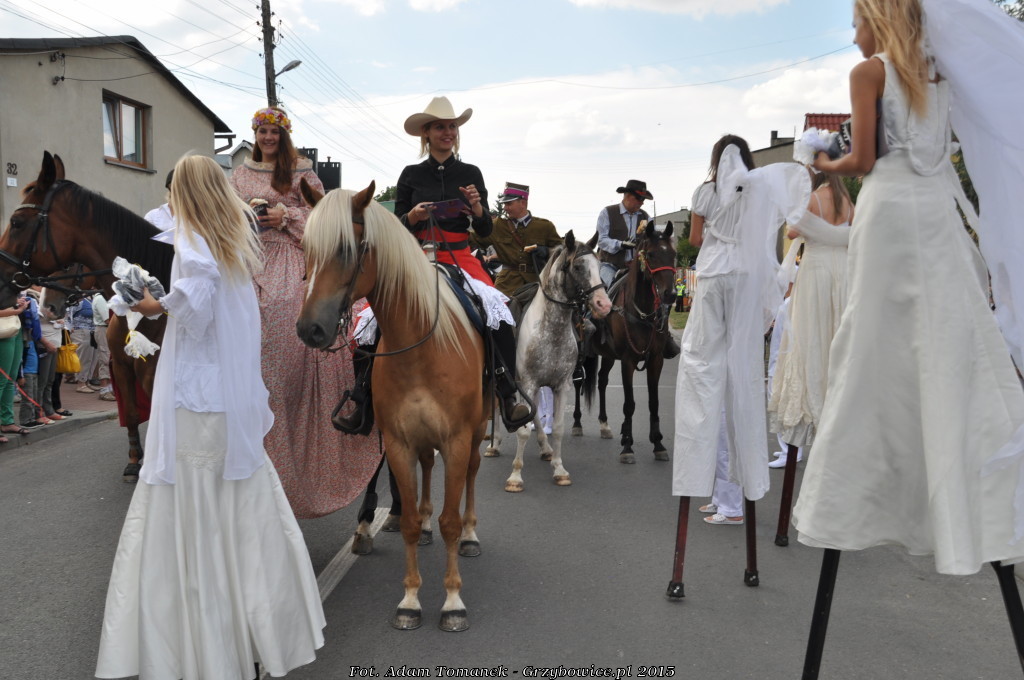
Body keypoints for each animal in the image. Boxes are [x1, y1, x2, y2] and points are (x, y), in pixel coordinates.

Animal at [295, 180, 487, 633]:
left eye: (346, 249)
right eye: (305, 247)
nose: (311, 329)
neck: (419, 346)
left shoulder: (457, 439)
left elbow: (451, 521)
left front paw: (453, 601)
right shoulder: (399, 441)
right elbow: (412, 525)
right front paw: (411, 599)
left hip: (477, 430)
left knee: (472, 474)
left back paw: (471, 536)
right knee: (427, 468)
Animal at [484, 232, 612, 492]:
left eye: (598, 265)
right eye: (578, 266)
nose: (604, 305)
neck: (551, 329)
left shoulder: (560, 385)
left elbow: (559, 428)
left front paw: (559, 470)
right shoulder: (528, 383)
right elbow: (523, 430)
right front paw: (515, 476)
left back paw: (545, 448)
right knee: (498, 404)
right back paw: (494, 443)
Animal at [572, 222, 677, 464]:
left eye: (674, 255)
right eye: (651, 254)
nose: (671, 294)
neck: (642, 312)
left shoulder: (656, 359)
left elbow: (653, 402)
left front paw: (658, 443)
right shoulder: (628, 361)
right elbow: (629, 404)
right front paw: (628, 446)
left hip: (608, 356)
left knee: (601, 381)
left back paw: (604, 424)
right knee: (578, 383)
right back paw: (577, 423)